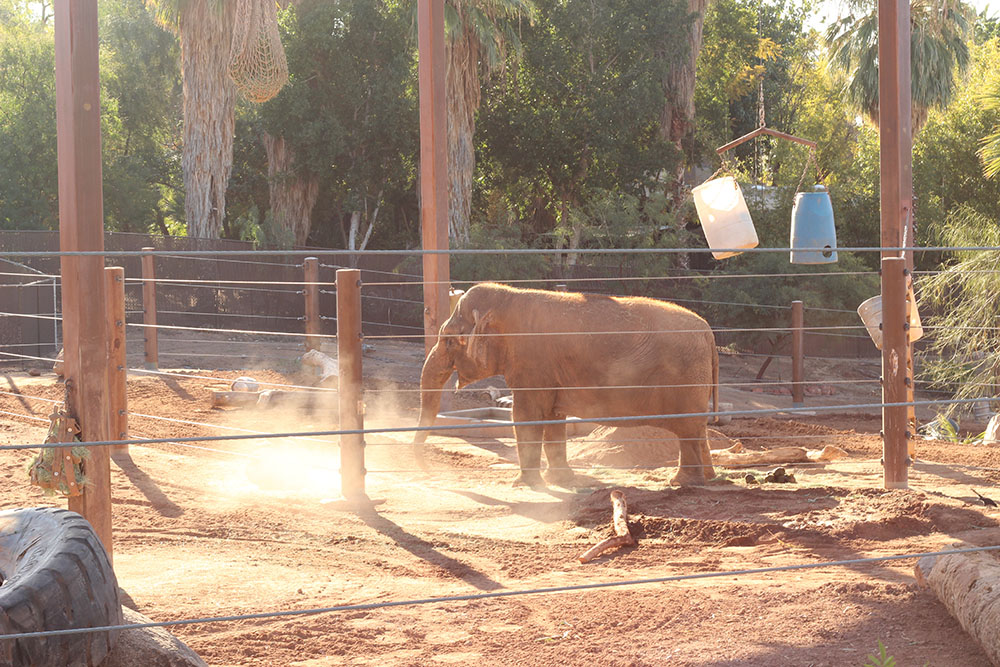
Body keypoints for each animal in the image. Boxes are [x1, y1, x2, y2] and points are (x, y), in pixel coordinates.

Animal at [410, 280, 724, 486]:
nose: (428, 472)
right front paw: (560, 479)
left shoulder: (532, 363)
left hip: (686, 380)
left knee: (688, 431)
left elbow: (525, 415)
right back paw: (707, 478)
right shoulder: (549, 372)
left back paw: (682, 482)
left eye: (449, 340)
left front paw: (524, 485)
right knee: (697, 430)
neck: (511, 298)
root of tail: (708, 332)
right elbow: (552, 416)